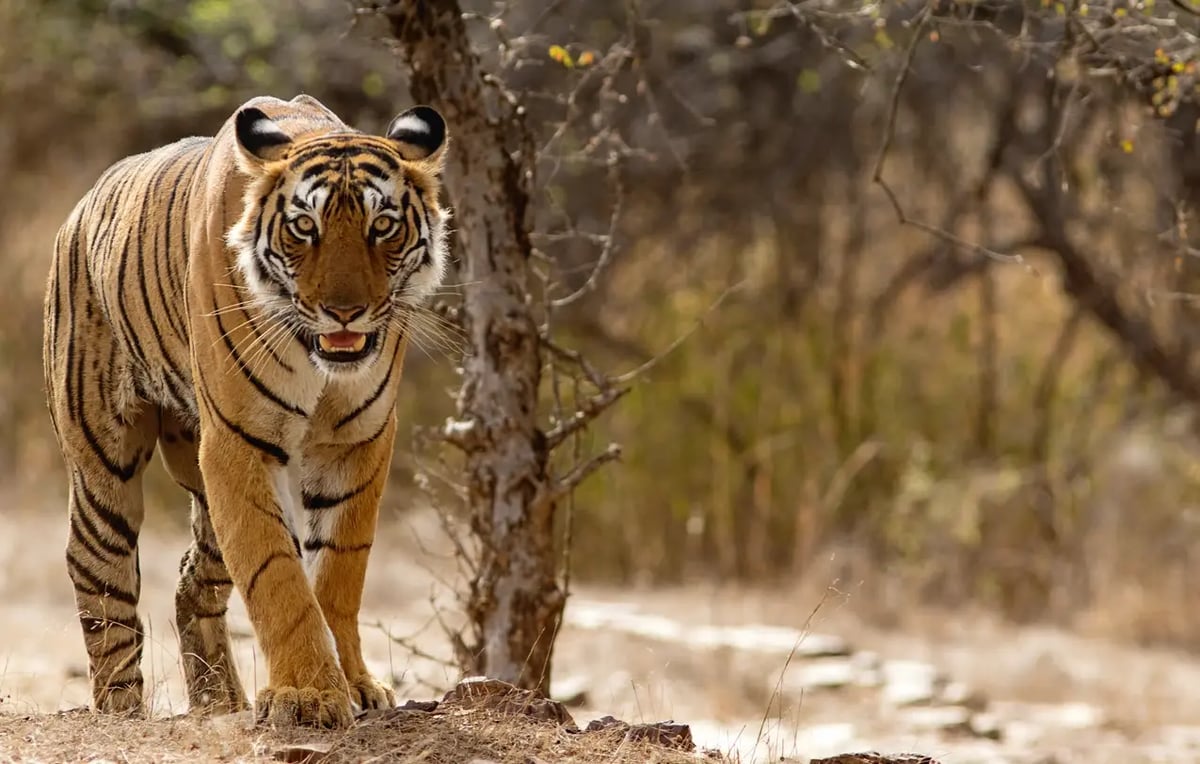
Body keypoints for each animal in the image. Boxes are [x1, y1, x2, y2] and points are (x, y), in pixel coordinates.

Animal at [42, 94, 449, 727]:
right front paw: (308, 695)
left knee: (192, 582)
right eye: (305, 227)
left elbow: (338, 570)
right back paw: (122, 710)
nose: (344, 313)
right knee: (99, 575)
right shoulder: (238, 442)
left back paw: (218, 701)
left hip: (201, 492)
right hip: (103, 463)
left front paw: (354, 684)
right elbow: (276, 572)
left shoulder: (358, 439)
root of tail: (82, 207)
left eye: (382, 226)